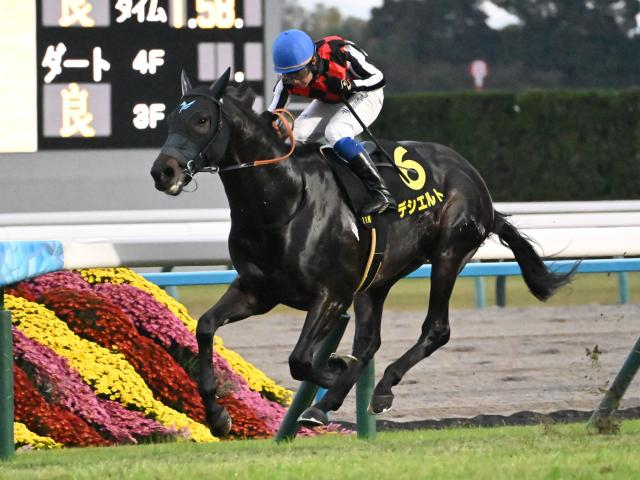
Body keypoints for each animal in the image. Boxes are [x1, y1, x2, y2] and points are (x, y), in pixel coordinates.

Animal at [150, 68, 573, 437]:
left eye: (202, 120)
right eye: (170, 119)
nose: (163, 171)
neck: (287, 200)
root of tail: (472, 175)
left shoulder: (331, 295)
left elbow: (301, 360)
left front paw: (336, 367)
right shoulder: (258, 291)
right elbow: (206, 326)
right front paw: (218, 416)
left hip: (449, 254)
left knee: (435, 329)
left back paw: (380, 388)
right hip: (377, 280)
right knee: (370, 341)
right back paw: (325, 405)